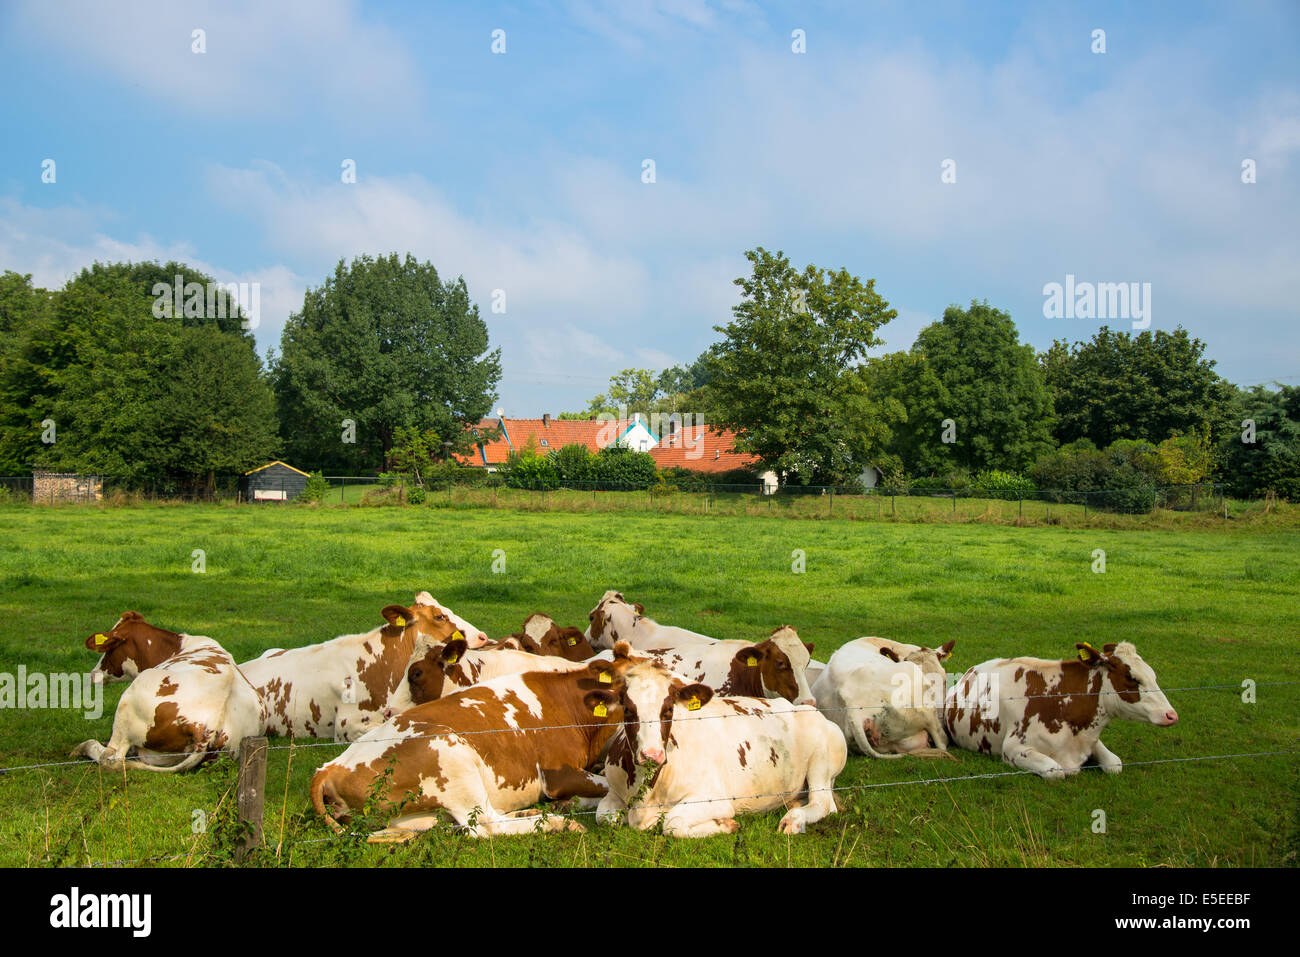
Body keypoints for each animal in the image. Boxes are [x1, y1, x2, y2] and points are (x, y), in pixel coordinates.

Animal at [71, 614, 265, 772]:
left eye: (109, 649)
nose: (93, 673)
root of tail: (208, 728)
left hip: (127, 706)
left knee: (112, 757)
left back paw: (85, 747)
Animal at [309, 664, 624, 838]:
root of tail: (330, 767)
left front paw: (573, 803)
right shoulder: (558, 774)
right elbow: (607, 785)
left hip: (418, 815)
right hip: (450, 753)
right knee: (486, 824)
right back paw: (559, 824)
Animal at [593, 643, 847, 838]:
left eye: (668, 709)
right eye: (627, 709)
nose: (652, 754)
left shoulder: (715, 799)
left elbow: (673, 823)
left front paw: (725, 824)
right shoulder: (613, 794)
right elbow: (604, 816)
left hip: (821, 763)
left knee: (824, 804)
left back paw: (794, 819)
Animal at [944, 641, 1179, 780]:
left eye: (1153, 675)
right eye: (1132, 678)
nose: (1171, 715)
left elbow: (1115, 764)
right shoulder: (1013, 749)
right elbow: (1056, 771)